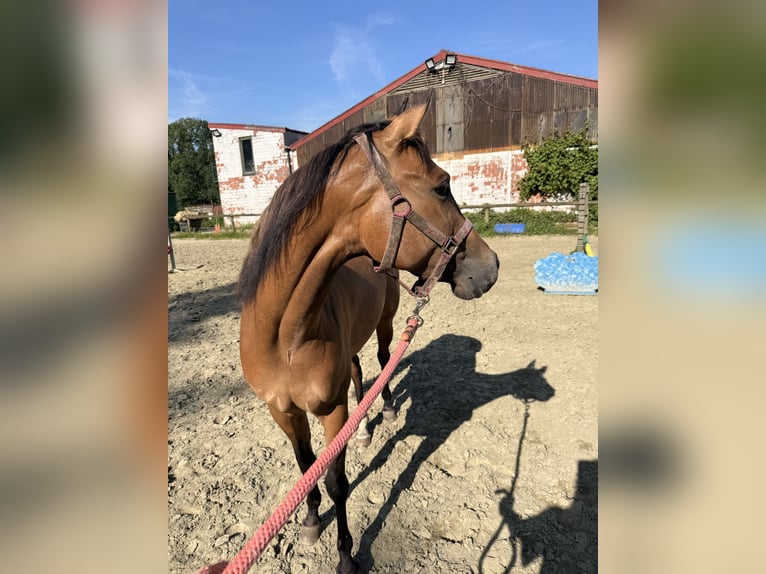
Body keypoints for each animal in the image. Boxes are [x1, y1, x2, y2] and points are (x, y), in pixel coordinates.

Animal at [237, 104, 499, 574]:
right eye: (441, 186)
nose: (491, 268)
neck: (284, 338)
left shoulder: (330, 410)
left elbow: (337, 482)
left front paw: (345, 554)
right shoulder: (283, 411)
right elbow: (305, 466)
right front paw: (310, 520)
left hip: (386, 325)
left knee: (380, 360)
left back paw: (387, 410)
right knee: (360, 371)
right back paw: (361, 430)